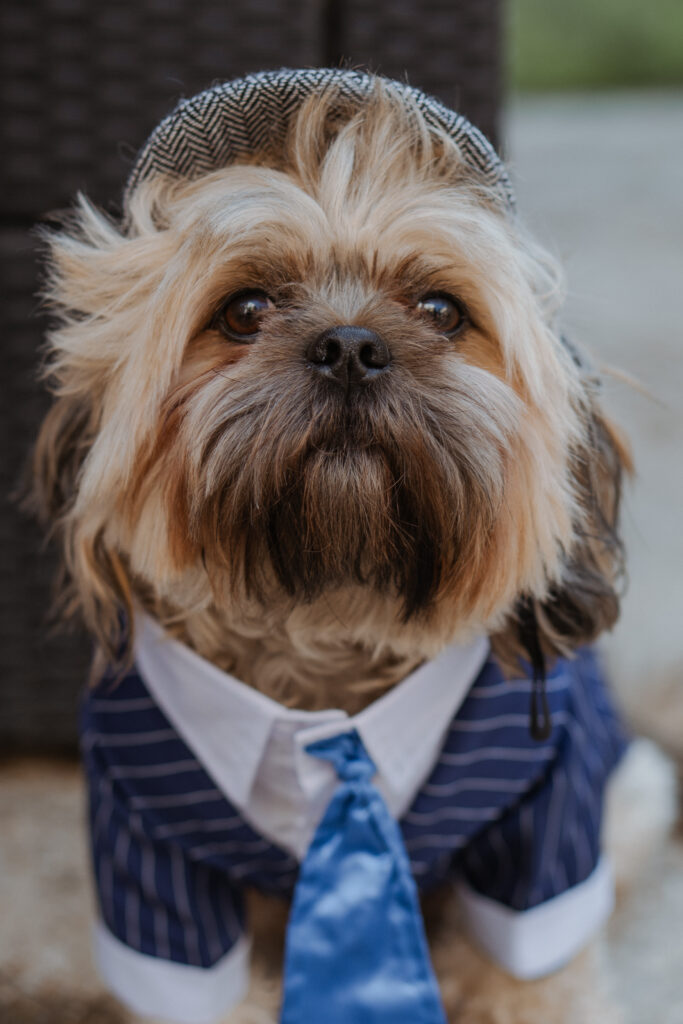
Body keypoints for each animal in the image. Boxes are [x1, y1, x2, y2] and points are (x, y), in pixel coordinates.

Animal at [31, 68, 634, 1019]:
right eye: (244, 310)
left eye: (440, 309)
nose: (350, 346)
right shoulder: (142, 850)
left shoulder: (551, 823)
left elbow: (528, 980)